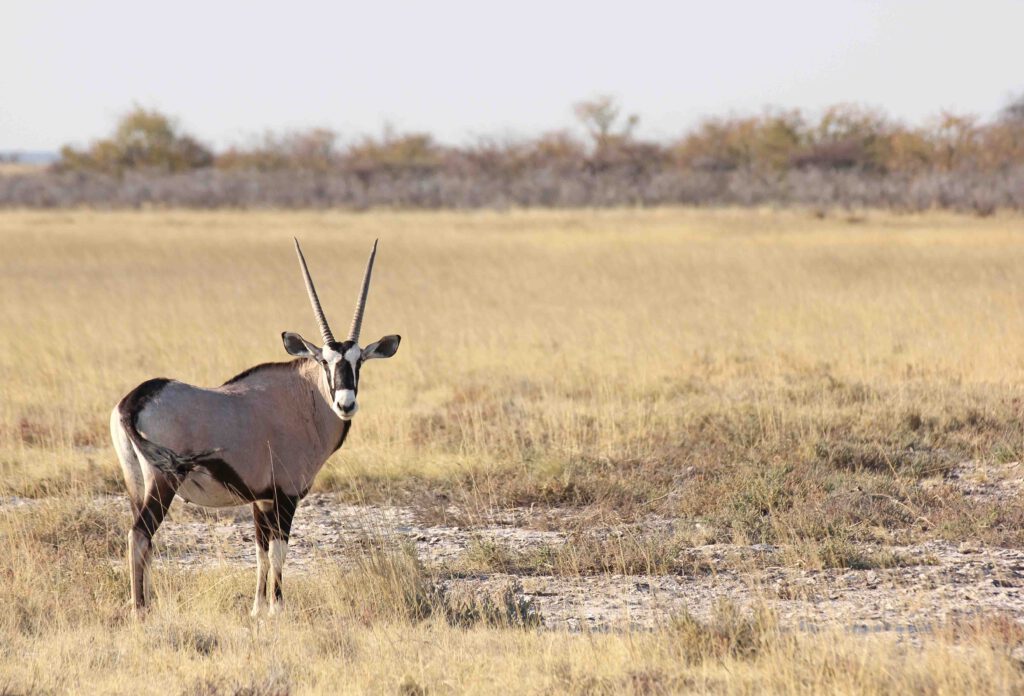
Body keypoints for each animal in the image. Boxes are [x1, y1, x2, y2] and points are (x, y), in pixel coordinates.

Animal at [112, 240, 399, 614]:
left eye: (359, 362)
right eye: (324, 361)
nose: (345, 404)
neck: (304, 398)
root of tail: (134, 401)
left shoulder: (259, 500)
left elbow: (261, 553)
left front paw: (258, 609)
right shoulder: (285, 496)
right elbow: (278, 552)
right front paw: (277, 608)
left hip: (136, 483)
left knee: (143, 539)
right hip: (163, 482)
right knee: (140, 534)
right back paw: (139, 610)